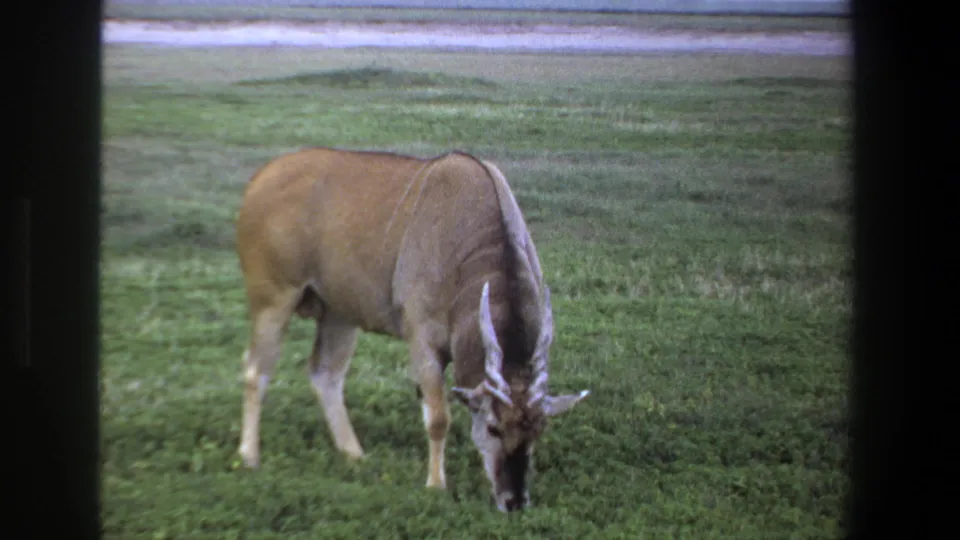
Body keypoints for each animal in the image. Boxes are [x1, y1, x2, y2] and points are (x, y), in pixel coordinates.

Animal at [235, 147, 589, 512]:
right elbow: (438, 418)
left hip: (339, 314)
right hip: (274, 298)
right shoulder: (422, 339)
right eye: (493, 428)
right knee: (255, 370)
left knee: (325, 374)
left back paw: (355, 454)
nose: (514, 501)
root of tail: (259, 180)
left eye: (539, 430)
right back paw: (249, 457)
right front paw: (435, 485)